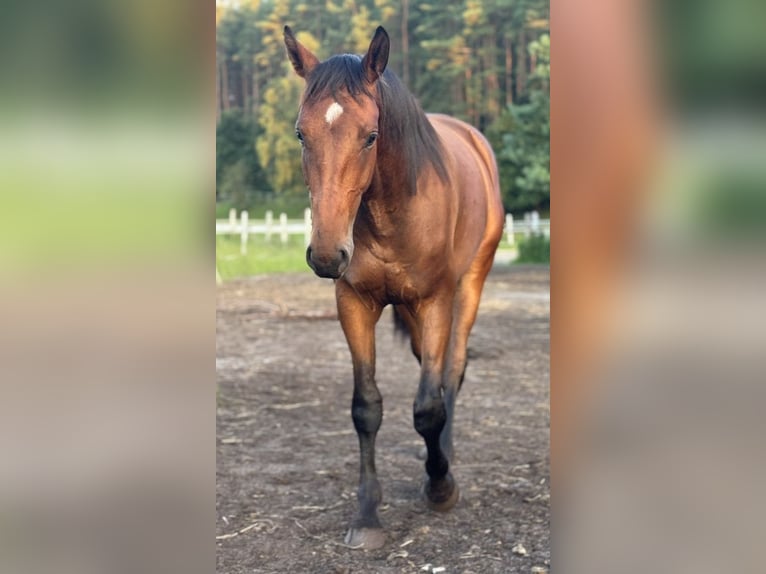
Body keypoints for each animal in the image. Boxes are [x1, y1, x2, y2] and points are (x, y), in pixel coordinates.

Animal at [283, 25, 504, 549]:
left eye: (371, 137)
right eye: (302, 133)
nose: (327, 254)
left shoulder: (435, 301)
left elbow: (427, 407)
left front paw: (441, 486)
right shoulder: (354, 303)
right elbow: (366, 407)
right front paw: (367, 515)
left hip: (471, 283)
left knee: (451, 371)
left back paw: (444, 459)